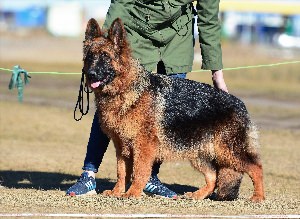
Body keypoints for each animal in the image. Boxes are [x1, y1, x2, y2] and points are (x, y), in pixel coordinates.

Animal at [82, 18, 264, 202]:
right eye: (90, 56)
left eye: (105, 57)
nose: (90, 74)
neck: (125, 89)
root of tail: (240, 103)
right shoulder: (121, 146)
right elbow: (121, 172)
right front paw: (117, 192)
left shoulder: (143, 146)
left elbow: (139, 171)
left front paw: (133, 193)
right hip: (200, 154)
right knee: (213, 177)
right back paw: (197, 195)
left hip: (228, 152)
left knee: (256, 167)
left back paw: (258, 196)